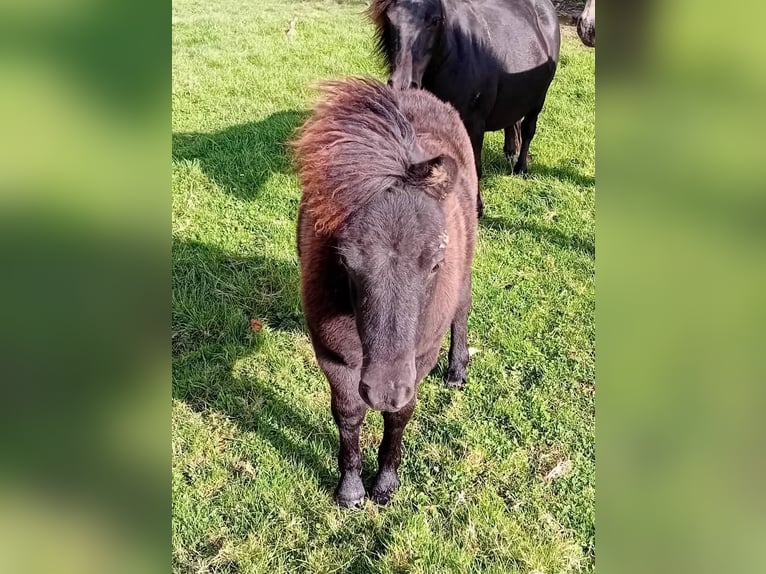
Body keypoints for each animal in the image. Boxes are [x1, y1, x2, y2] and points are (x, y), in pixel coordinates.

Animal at [374, 0, 560, 216]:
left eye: (435, 20)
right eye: (389, 18)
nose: (402, 84)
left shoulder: (474, 125)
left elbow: (474, 166)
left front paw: (477, 208)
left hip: (539, 99)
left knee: (528, 129)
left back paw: (521, 168)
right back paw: (510, 151)